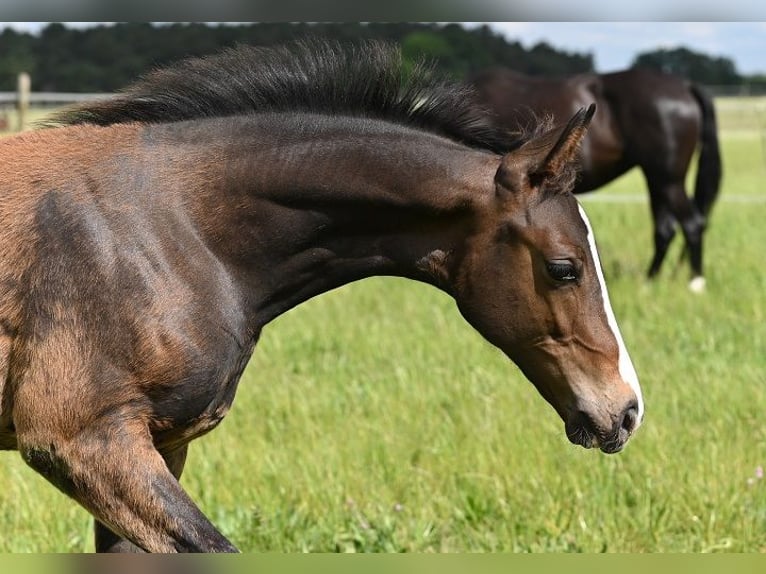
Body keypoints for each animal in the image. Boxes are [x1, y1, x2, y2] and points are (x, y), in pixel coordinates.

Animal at [468, 67, 728, 292]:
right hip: (657, 179)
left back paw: (695, 284)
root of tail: (685, 85)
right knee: (665, 229)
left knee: (692, 223)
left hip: (668, 180)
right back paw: (649, 282)